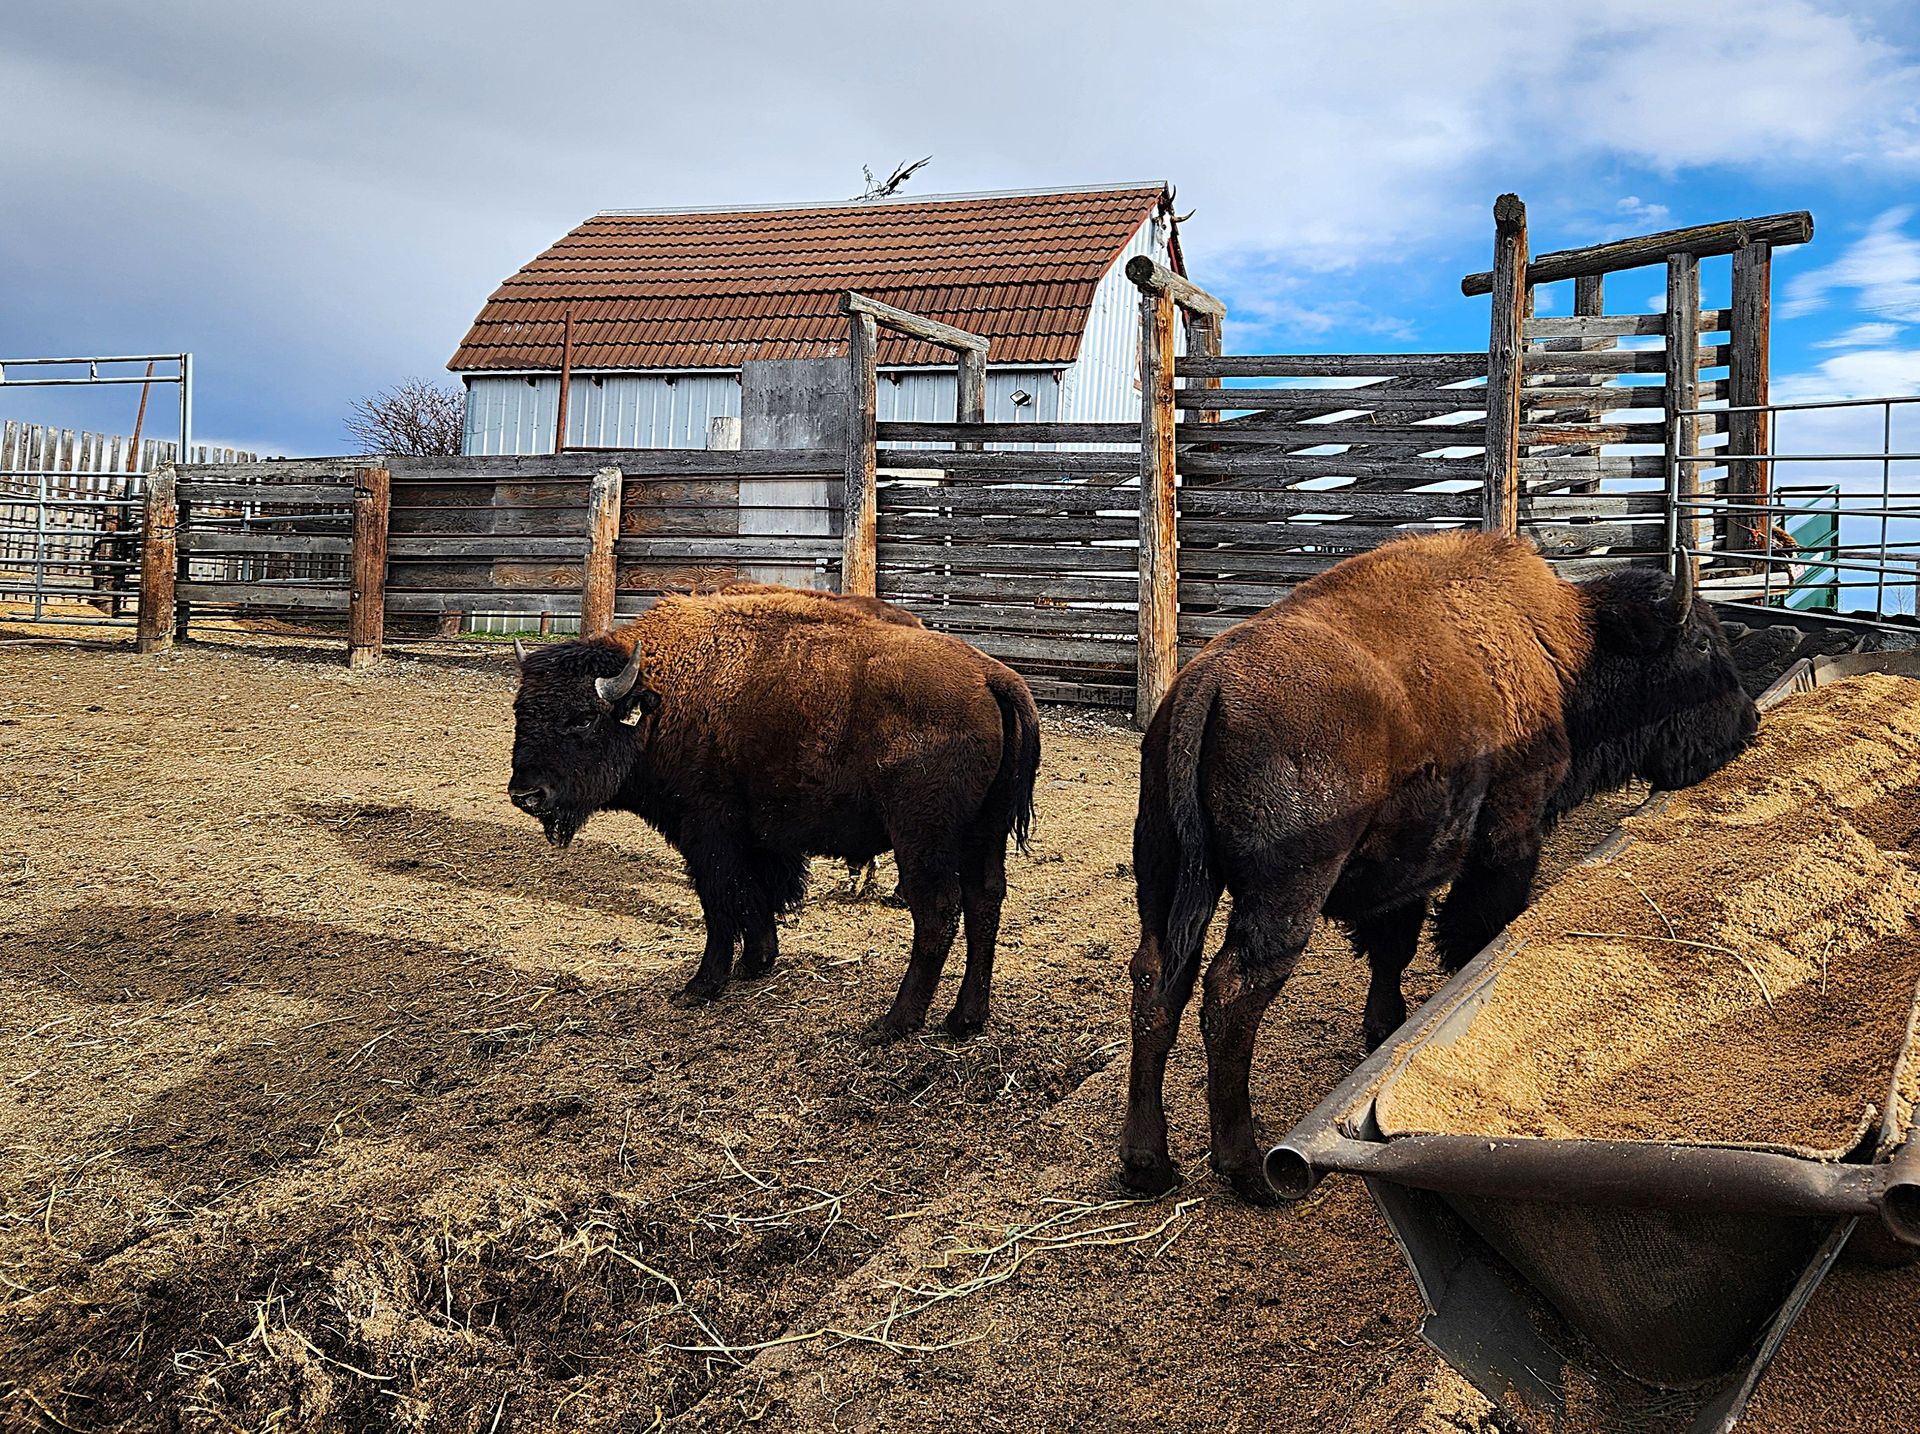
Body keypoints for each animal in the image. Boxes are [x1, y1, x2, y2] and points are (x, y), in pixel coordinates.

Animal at [507, 585, 1040, 1039]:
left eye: (582, 718)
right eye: (520, 712)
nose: (525, 794)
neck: (662, 696)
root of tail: (991, 677)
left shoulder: (708, 832)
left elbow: (721, 903)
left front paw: (702, 985)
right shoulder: (756, 838)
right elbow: (754, 898)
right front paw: (756, 963)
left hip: (922, 838)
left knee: (937, 912)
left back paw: (893, 1023)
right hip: (982, 834)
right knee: (984, 902)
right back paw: (965, 1019)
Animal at [1119, 532, 1758, 1203]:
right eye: (1702, 644)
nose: (1748, 724)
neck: (1566, 648)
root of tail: (1204, 686)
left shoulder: (1403, 872)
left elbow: (1392, 948)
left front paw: (1385, 1029)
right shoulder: (1508, 834)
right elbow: (1475, 926)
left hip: (1164, 875)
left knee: (1157, 984)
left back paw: (1147, 1166)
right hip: (1284, 894)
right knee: (1231, 993)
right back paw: (1247, 1171)